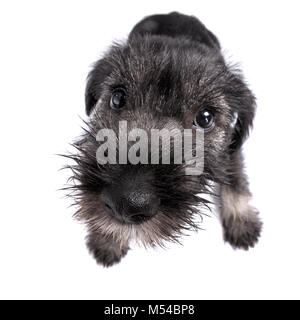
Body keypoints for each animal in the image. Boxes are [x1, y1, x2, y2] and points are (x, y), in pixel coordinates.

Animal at [64, 11, 262, 266]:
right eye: (117, 98)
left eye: (205, 117)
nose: (125, 203)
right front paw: (107, 238)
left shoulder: (231, 146)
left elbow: (236, 179)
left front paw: (242, 221)